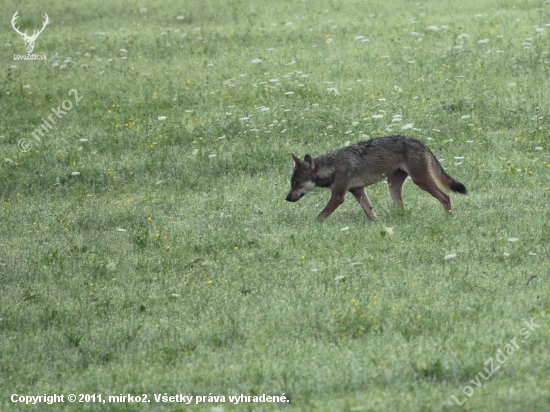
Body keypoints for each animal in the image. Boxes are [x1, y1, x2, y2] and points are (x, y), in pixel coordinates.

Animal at [286, 134, 468, 219]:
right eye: (291, 183)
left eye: (297, 184)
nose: (287, 198)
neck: (333, 167)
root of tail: (421, 143)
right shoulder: (358, 190)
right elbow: (370, 213)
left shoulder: (338, 196)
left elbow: (319, 217)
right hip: (393, 186)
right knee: (402, 210)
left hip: (421, 181)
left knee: (446, 197)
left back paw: (449, 219)